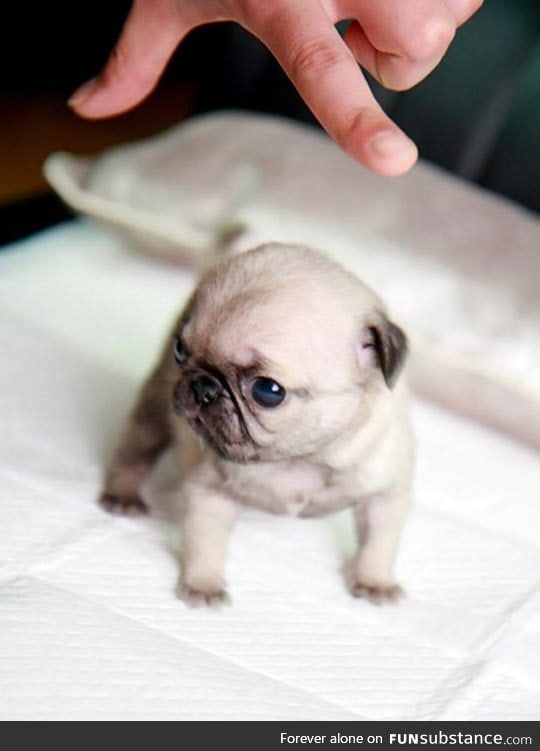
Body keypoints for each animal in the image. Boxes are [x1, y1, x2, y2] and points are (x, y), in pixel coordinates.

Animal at [100, 244, 414, 608]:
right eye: (180, 349)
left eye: (267, 390)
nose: (201, 386)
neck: (299, 458)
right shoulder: (210, 491)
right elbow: (203, 542)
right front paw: (203, 583)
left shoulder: (384, 494)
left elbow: (379, 544)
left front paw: (374, 580)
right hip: (154, 409)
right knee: (133, 450)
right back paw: (122, 494)